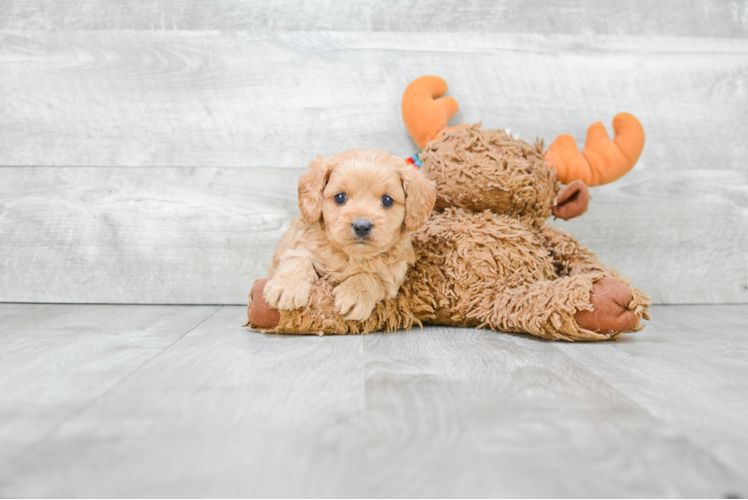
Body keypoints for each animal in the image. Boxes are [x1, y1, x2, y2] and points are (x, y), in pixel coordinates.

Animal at [264, 147, 436, 320]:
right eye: (340, 197)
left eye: (387, 200)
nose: (362, 226)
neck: (351, 255)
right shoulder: (302, 246)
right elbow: (298, 259)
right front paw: (286, 287)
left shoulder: (391, 278)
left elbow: (371, 276)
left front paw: (355, 295)